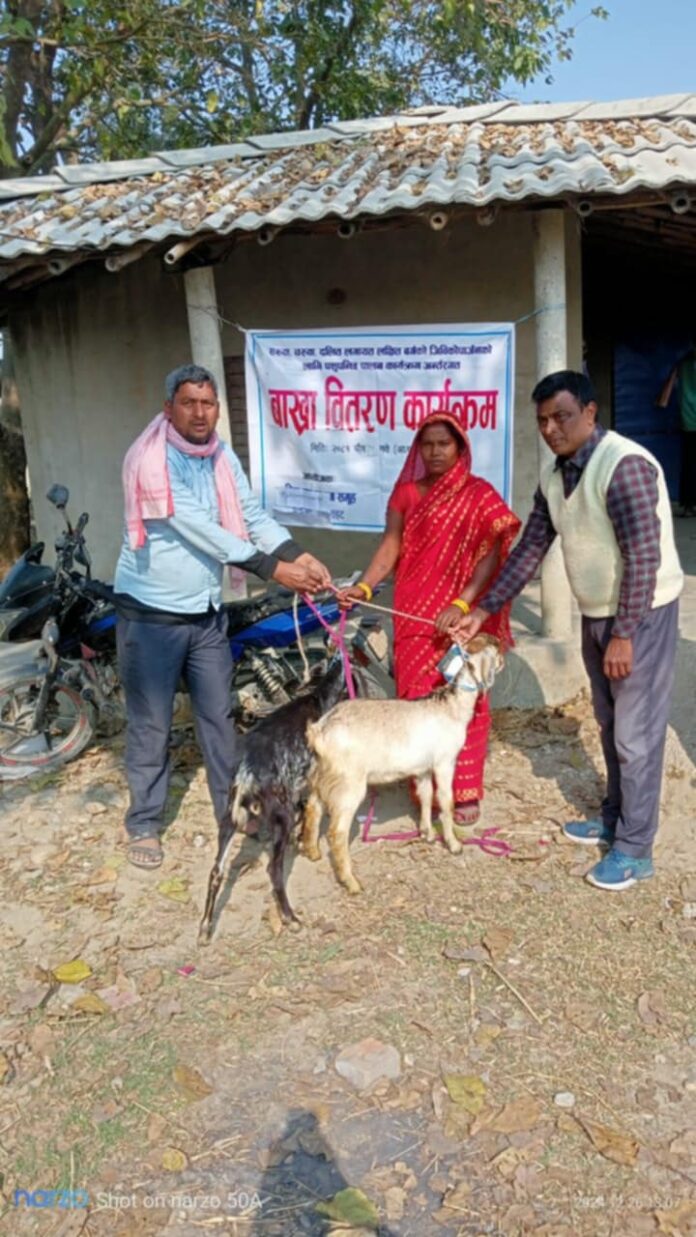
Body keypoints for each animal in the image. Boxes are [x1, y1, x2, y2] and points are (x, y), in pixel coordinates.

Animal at [198, 658, 346, 944]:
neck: (316, 697)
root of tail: (246, 774)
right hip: (281, 816)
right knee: (273, 871)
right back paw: (290, 918)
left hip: (228, 822)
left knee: (215, 872)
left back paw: (204, 929)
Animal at [303, 636, 504, 895]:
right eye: (496, 651)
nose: (503, 660)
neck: (450, 706)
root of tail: (319, 731)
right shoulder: (444, 761)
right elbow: (445, 800)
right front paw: (454, 844)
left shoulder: (423, 768)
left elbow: (426, 796)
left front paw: (427, 833)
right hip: (348, 783)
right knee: (336, 832)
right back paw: (352, 882)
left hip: (323, 774)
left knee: (312, 808)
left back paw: (312, 851)